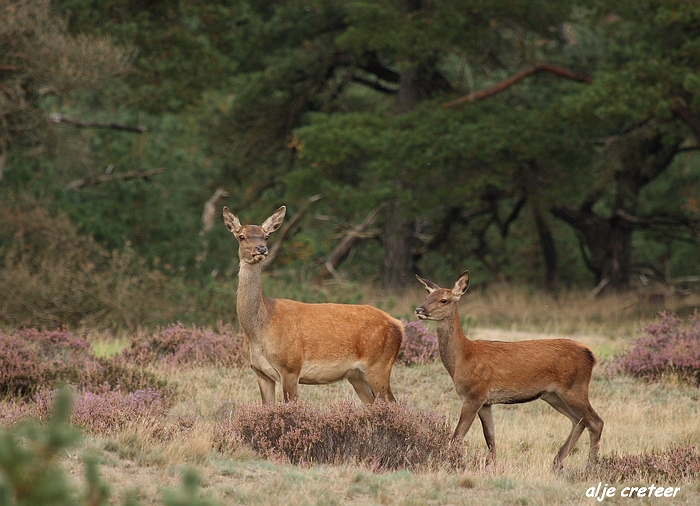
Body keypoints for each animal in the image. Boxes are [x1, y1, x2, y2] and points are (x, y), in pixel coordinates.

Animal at [221, 206, 402, 404]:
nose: (261, 248)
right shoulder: (261, 373)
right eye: (241, 236)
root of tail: (399, 325)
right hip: (357, 376)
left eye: (266, 236)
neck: (258, 330)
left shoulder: (291, 367)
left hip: (379, 365)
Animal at [416, 270, 600, 468]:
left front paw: (447, 460)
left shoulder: (474, 394)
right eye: (426, 297)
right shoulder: (486, 402)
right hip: (553, 395)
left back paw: (590, 466)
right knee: (579, 420)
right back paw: (558, 461)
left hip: (574, 388)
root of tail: (591, 355)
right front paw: (492, 465)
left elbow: (457, 435)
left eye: (444, 300)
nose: (419, 310)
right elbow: (490, 436)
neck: (462, 359)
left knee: (595, 422)